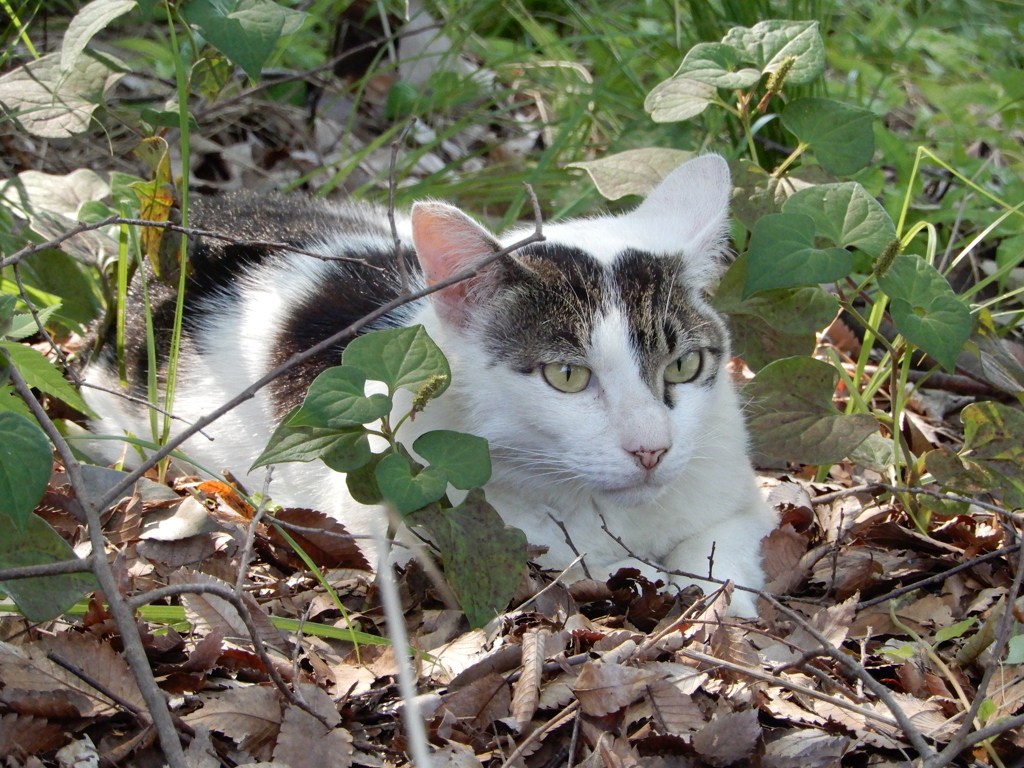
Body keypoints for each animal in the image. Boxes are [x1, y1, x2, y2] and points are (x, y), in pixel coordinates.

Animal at [83, 154, 774, 618]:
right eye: (567, 376)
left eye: (683, 366)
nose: (651, 449)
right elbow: (580, 563)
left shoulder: (738, 497)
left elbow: (722, 553)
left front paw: (710, 597)